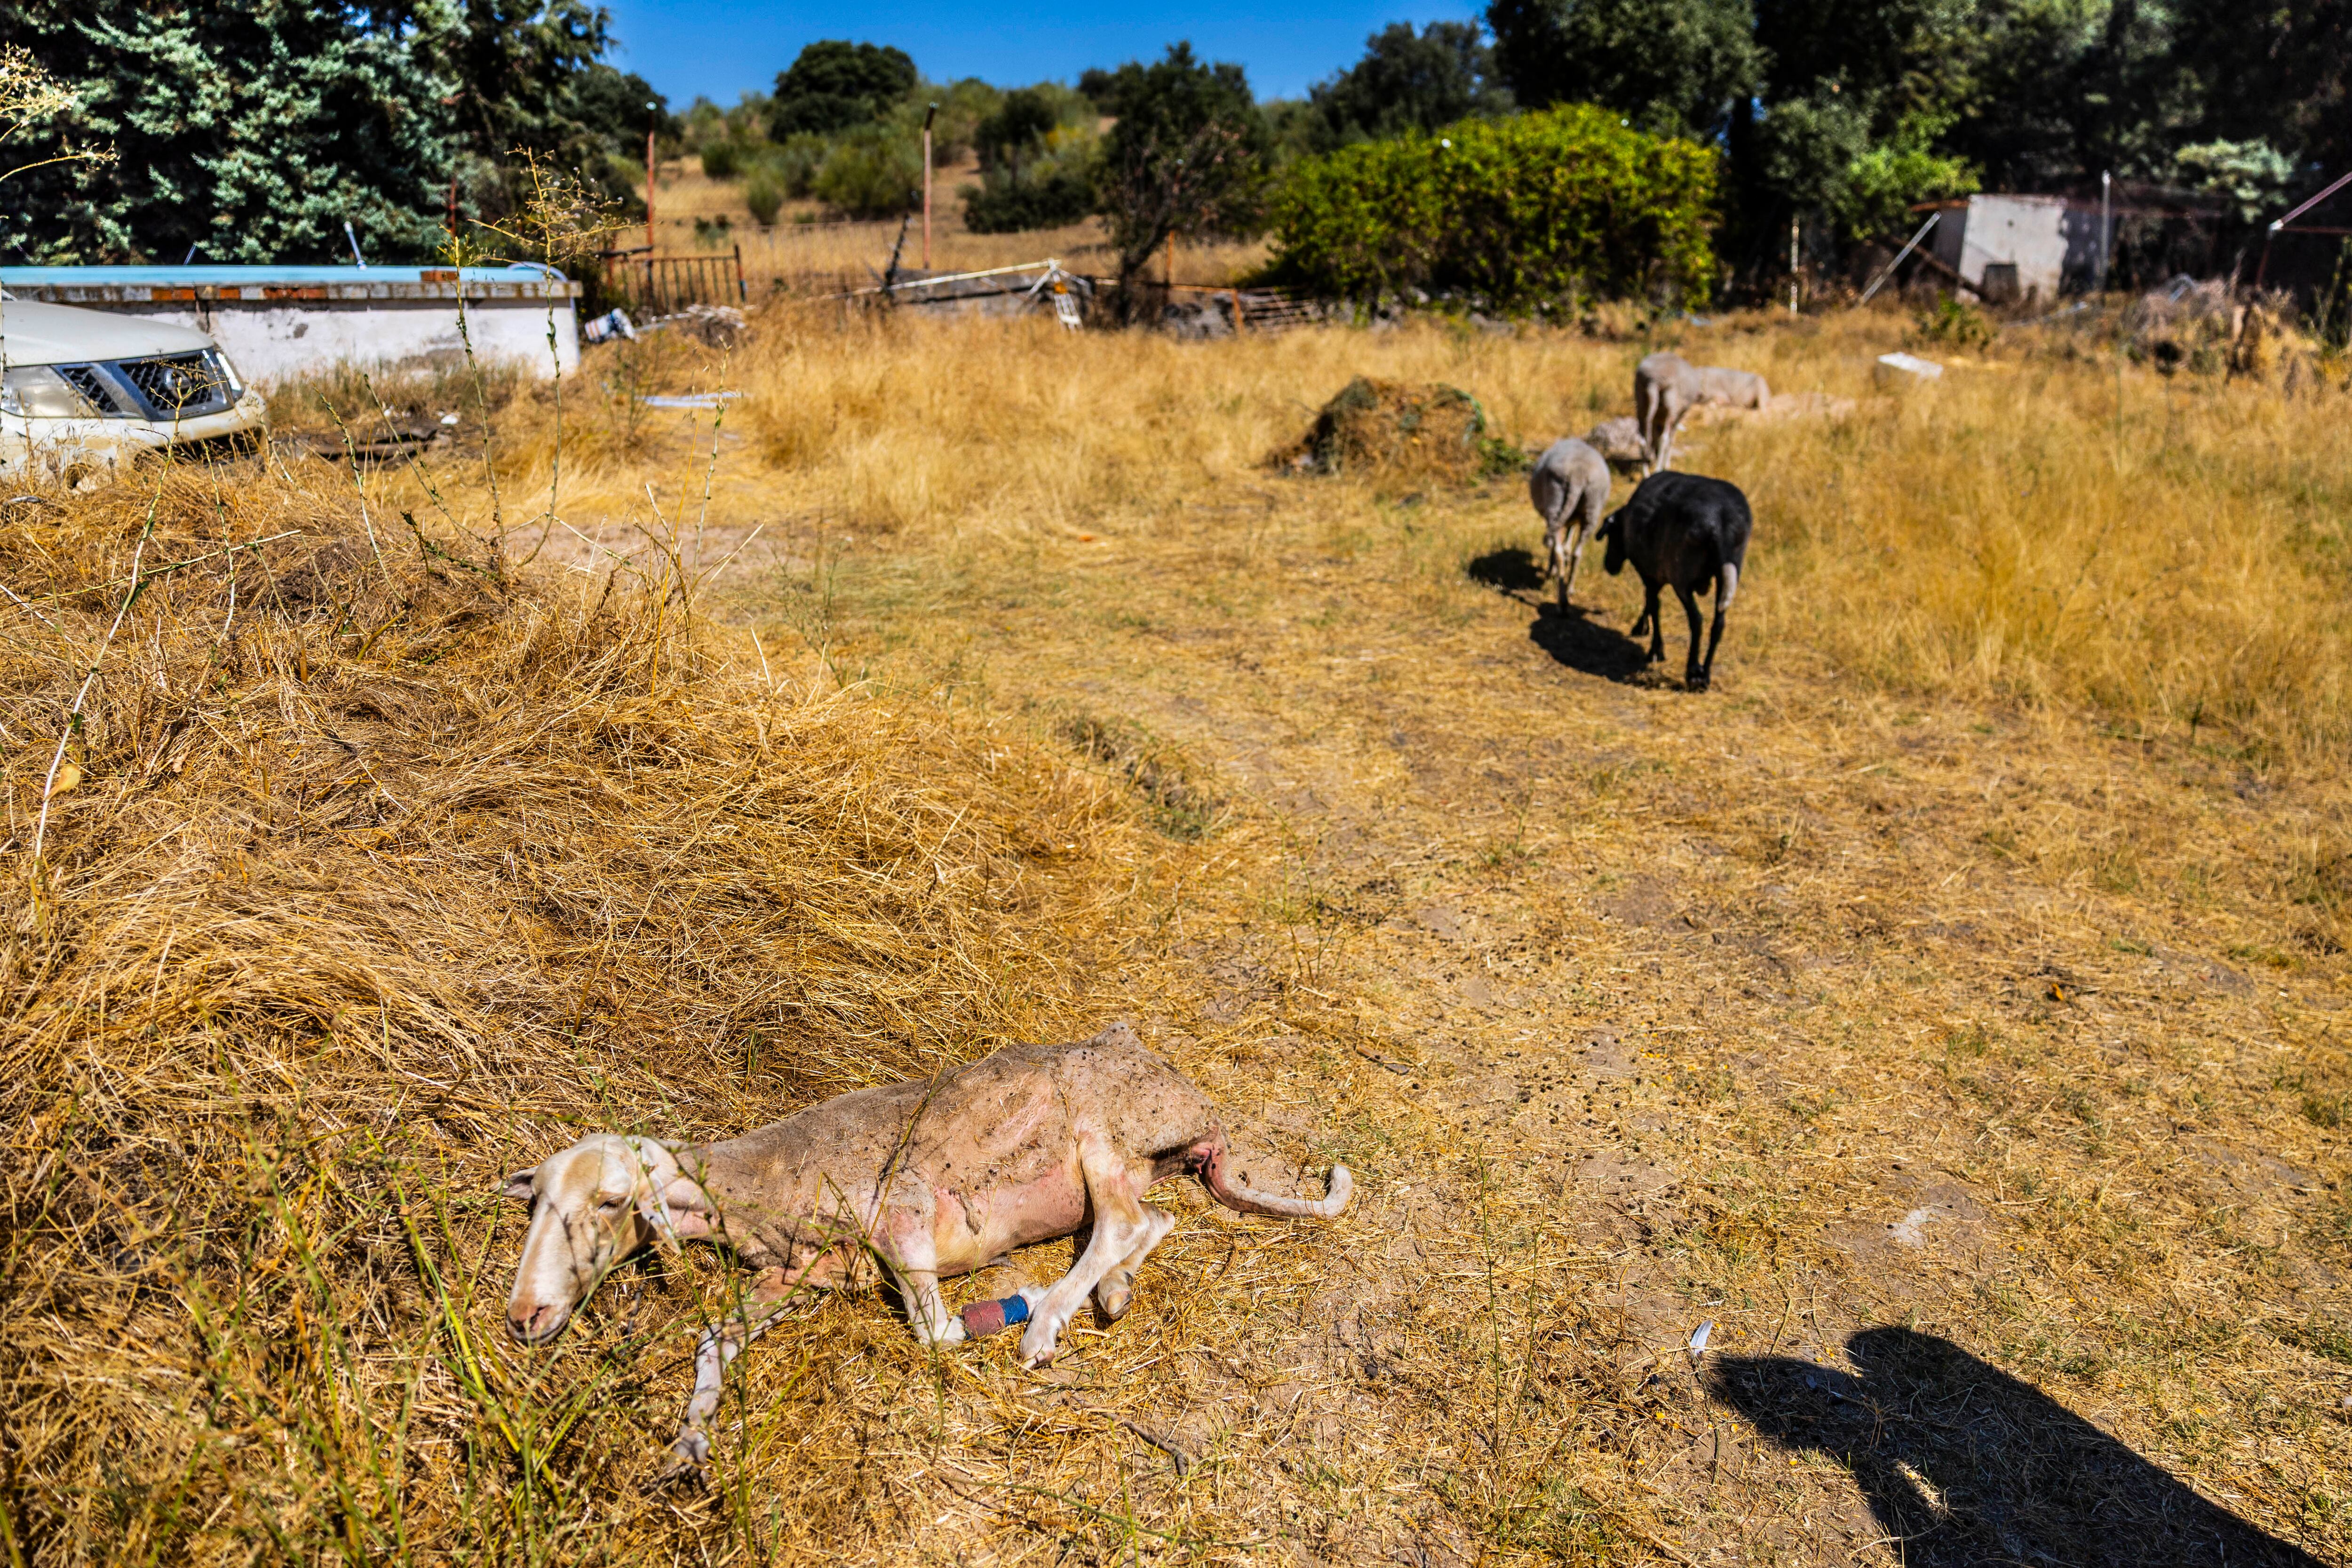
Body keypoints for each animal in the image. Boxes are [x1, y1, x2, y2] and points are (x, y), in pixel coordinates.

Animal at [1528, 437, 1613, 606]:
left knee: (1558, 551)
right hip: (1592, 506)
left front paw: (1551, 571)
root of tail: (1578, 473)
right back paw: (1570, 589)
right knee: (1577, 553)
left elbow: (1558, 546)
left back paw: (1562, 601)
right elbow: (1568, 541)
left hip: (1555, 499)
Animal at [1595, 471, 1752, 690]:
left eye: (1611, 535)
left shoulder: (1649, 573)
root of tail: (1720, 526)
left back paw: (1693, 673)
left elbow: (1654, 604)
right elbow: (1651, 603)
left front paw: (1654, 649)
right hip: (1728, 572)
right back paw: (1706, 676)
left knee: (1697, 619)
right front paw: (1642, 630)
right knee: (1719, 623)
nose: (1610, 566)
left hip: (1682, 577)